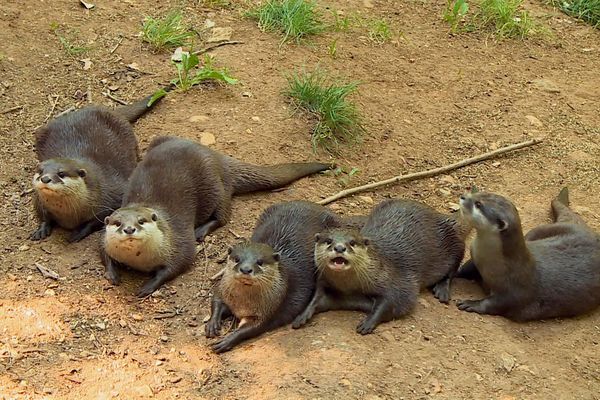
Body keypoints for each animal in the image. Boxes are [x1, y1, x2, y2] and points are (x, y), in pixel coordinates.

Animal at [31, 88, 168, 242]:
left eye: (61, 173)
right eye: (40, 171)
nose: (45, 178)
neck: (69, 215)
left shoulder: (111, 197)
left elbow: (97, 220)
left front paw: (79, 232)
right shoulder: (38, 200)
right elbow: (43, 215)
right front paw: (42, 229)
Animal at [101, 138, 330, 296]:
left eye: (141, 221)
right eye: (118, 223)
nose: (129, 229)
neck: (140, 260)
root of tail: (217, 157)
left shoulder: (179, 241)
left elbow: (178, 263)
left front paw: (148, 285)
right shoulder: (103, 239)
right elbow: (104, 252)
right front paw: (113, 274)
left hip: (213, 186)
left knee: (223, 214)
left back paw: (201, 230)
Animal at [205, 202, 352, 352]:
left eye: (260, 262)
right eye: (237, 259)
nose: (246, 269)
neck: (242, 303)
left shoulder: (270, 308)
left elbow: (253, 328)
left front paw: (227, 340)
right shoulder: (223, 289)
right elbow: (216, 299)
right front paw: (212, 323)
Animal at [292, 199, 472, 334]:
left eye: (352, 242)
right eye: (328, 241)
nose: (340, 247)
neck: (351, 288)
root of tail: (443, 218)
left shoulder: (397, 281)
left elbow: (395, 301)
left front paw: (368, 322)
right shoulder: (324, 282)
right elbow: (316, 299)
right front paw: (301, 316)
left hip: (451, 247)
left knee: (454, 267)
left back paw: (442, 290)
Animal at [454, 188, 600, 322]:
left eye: (478, 204)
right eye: (479, 193)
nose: (462, 196)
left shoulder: (516, 289)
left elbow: (497, 303)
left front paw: (471, 304)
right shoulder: (475, 259)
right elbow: (466, 268)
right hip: (543, 229)